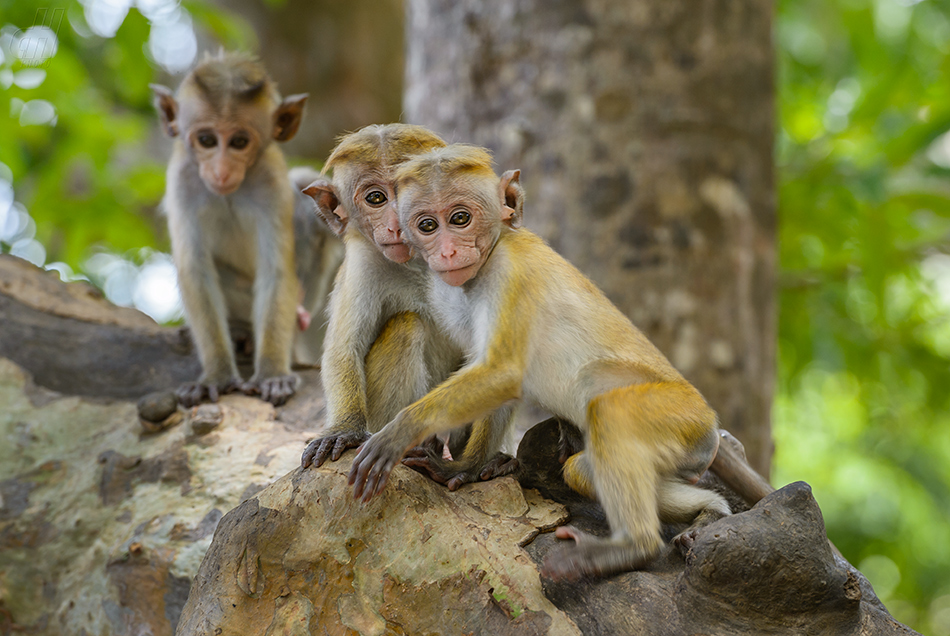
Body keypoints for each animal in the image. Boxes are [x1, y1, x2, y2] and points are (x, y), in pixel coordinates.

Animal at [151, 51, 310, 408]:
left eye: (239, 142)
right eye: (207, 140)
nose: (221, 172)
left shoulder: (271, 180)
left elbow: (276, 270)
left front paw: (271, 373)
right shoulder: (182, 179)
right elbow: (195, 270)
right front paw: (217, 375)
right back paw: (239, 332)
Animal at [298, 125, 520, 486]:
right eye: (376, 198)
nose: (397, 225)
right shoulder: (363, 264)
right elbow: (344, 349)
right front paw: (344, 429)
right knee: (406, 325)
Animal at [354, 144, 732, 580]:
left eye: (460, 218)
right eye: (428, 225)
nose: (447, 251)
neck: (491, 255)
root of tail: (711, 436)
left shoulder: (512, 275)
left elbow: (503, 372)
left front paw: (400, 432)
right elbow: (496, 378)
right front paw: (465, 467)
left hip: (683, 418)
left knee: (611, 412)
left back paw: (631, 547)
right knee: (583, 469)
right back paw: (710, 512)